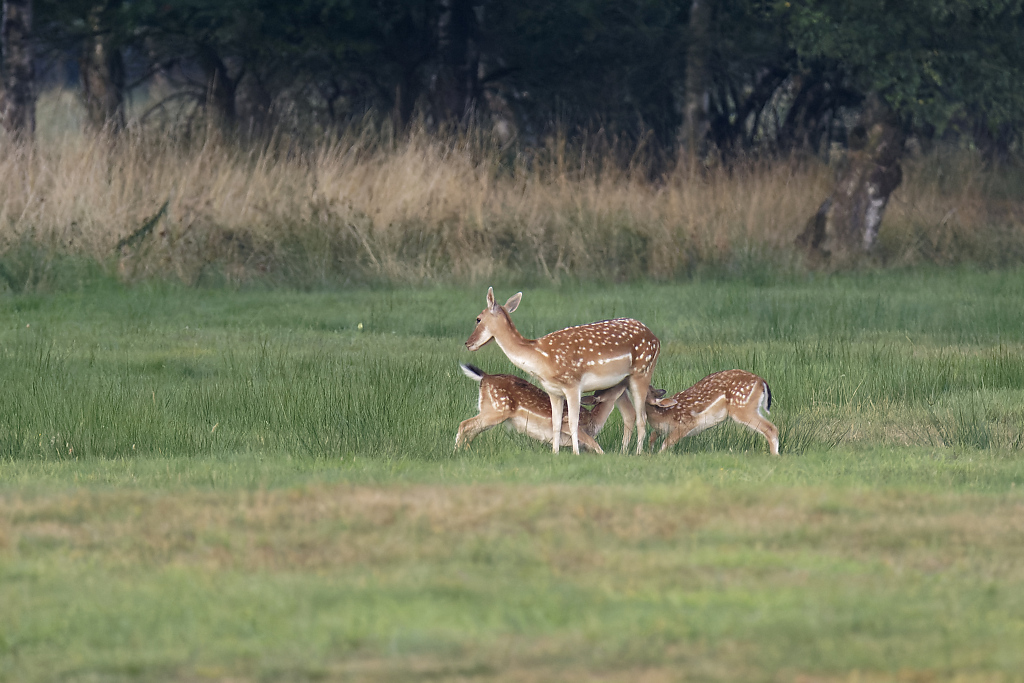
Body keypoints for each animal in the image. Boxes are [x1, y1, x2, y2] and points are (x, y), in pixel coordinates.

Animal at [466, 288, 663, 454]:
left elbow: (574, 422)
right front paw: (555, 453)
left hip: (642, 371)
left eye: (478, 318)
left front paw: (576, 453)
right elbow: (556, 423)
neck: (541, 359)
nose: (468, 343)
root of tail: (655, 338)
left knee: (642, 417)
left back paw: (638, 453)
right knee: (630, 415)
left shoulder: (572, 384)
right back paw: (623, 452)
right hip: (622, 382)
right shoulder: (554, 391)